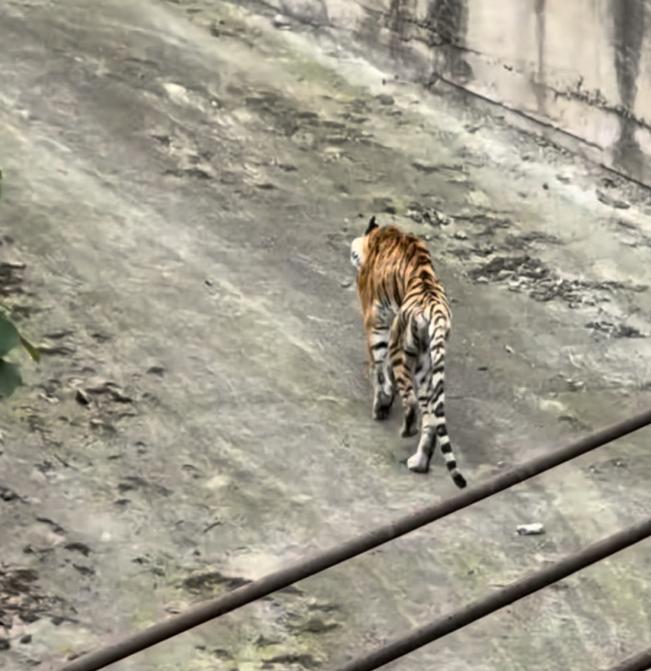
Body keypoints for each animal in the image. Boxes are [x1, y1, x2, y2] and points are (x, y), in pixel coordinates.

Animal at [350, 216, 467, 488]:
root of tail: (435, 308)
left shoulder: (376, 323)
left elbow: (378, 368)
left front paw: (380, 404)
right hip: (426, 364)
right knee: (431, 419)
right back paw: (419, 462)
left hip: (402, 348)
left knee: (412, 402)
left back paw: (405, 430)